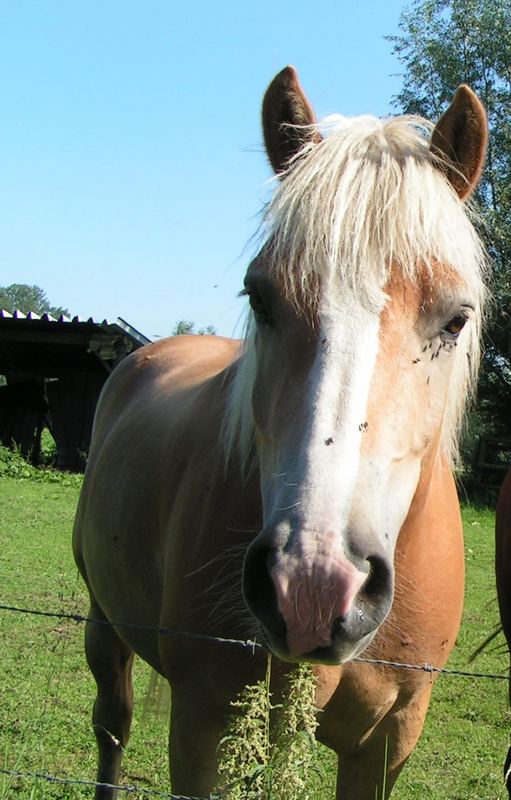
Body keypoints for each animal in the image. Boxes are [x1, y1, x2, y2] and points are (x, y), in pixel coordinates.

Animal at [74, 69, 490, 800]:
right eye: (260, 298)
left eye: (455, 319)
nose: (313, 586)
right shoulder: (204, 723)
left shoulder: (388, 739)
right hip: (104, 622)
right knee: (112, 725)